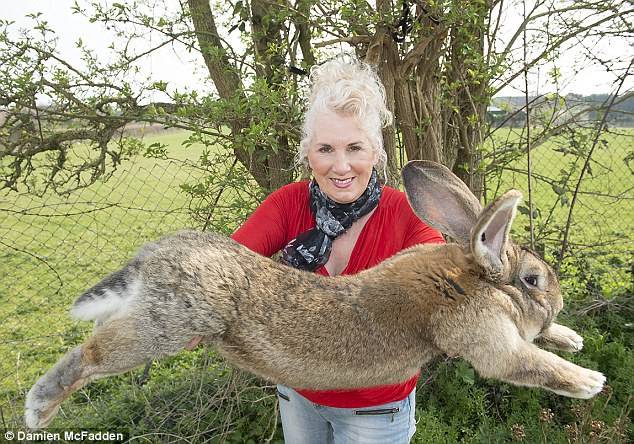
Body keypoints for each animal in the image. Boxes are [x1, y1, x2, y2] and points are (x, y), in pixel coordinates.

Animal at [23, 161, 604, 428]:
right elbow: (527, 363)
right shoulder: (485, 336)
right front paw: (589, 380)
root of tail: (154, 256)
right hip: (168, 324)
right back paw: (39, 410)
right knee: (91, 353)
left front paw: (570, 337)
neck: (471, 277)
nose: (557, 302)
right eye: (533, 280)